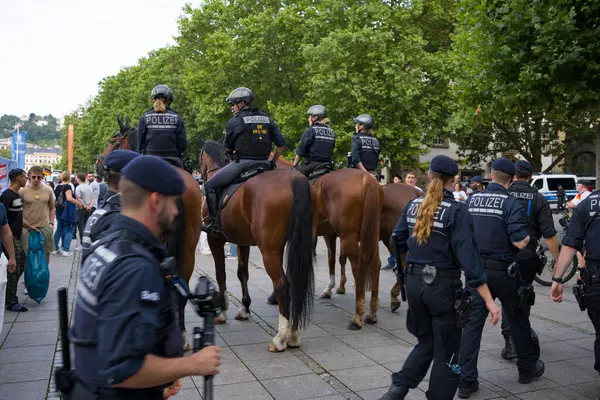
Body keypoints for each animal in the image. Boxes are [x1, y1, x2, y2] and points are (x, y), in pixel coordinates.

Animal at [199, 142, 316, 352]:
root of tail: (296, 178)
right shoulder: (242, 241)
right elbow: (242, 273)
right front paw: (244, 308)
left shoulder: (215, 240)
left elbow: (221, 274)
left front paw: (222, 311)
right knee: (297, 283)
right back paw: (294, 334)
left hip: (269, 250)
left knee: (282, 284)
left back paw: (280, 338)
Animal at [274, 156, 382, 328]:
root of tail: (367, 179)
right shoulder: (329, 234)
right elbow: (333, 259)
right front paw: (330, 288)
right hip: (371, 235)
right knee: (375, 264)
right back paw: (372, 313)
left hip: (349, 237)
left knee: (359, 267)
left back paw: (357, 316)